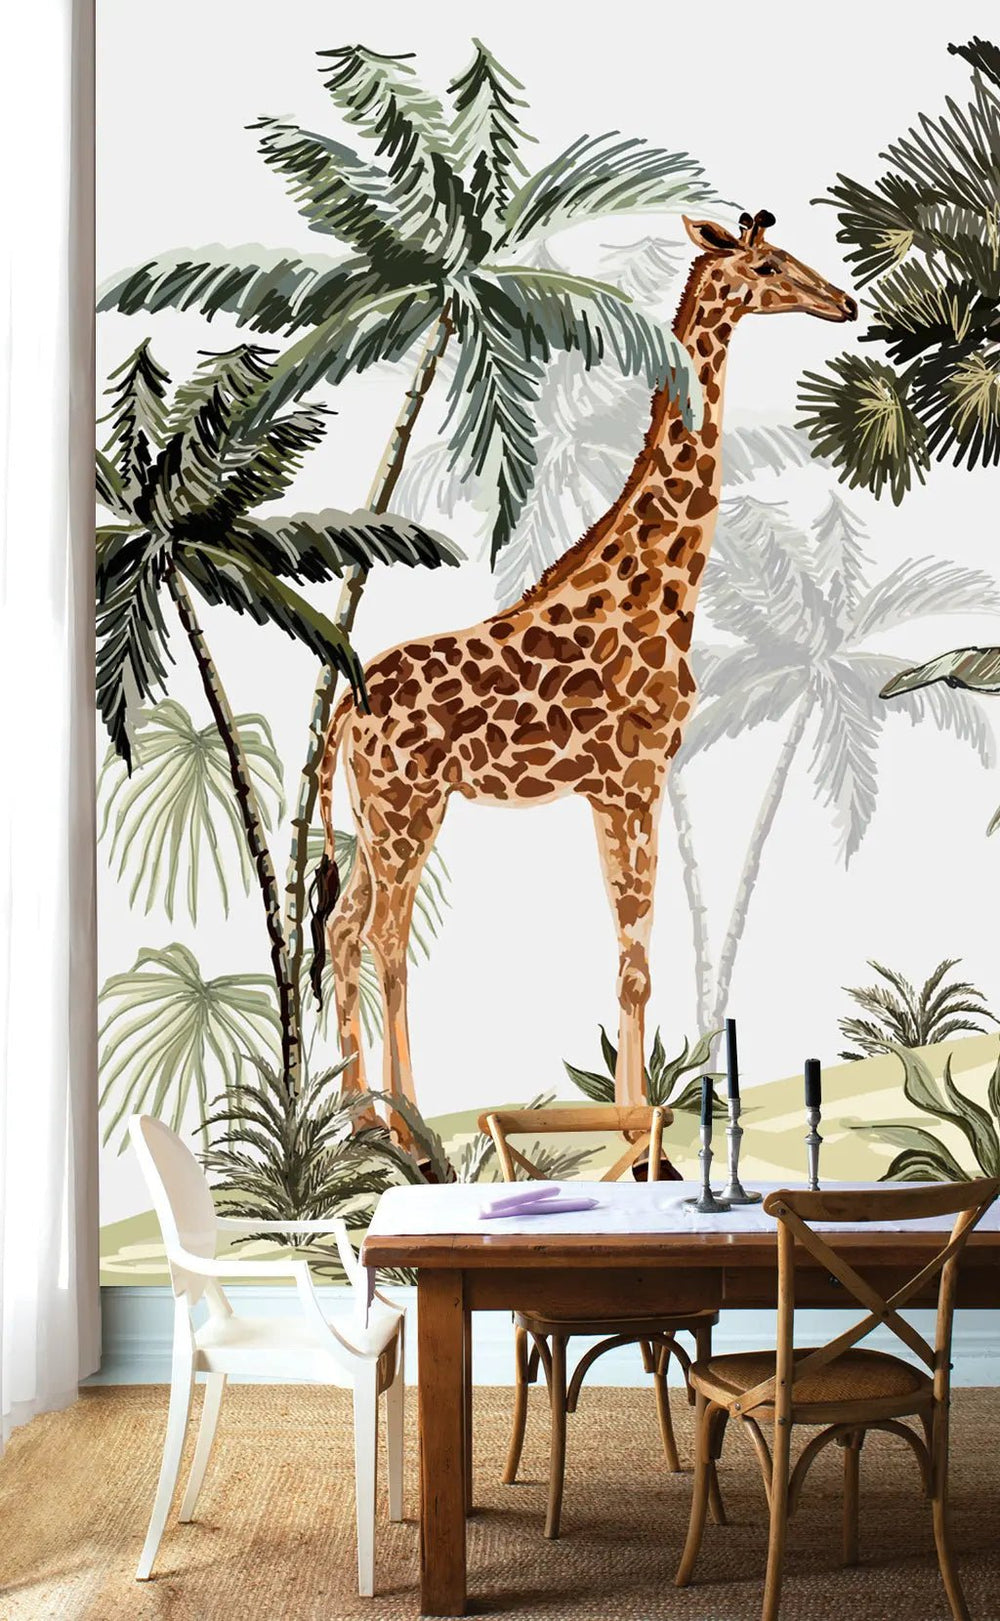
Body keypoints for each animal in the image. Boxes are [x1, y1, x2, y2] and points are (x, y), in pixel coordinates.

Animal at [311, 210, 857, 1116]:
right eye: (771, 265)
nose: (843, 301)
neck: (656, 593)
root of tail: (343, 711)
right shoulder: (633, 777)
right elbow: (636, 964)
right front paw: (637, 1119)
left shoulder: (615, 787)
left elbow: (630, 959)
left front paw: (632, 1113)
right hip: (407, 805)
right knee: (387, 937)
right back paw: (407, 1120)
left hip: (373, 814)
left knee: (341, 926)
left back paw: (357, 1113)